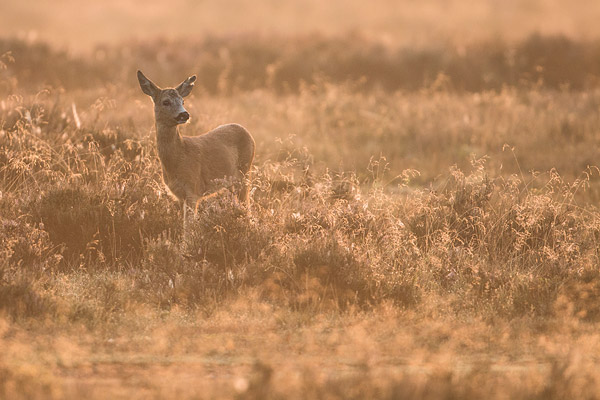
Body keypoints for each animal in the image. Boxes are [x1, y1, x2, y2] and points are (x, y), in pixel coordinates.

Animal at [136, 70, 255, 227]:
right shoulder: (179, 195)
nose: (184, 114)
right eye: (166, 102)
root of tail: (247, 132)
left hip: (244, 172)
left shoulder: (193, 190)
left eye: (183, 101)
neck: (178, 157)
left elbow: (189, 227)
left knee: (246, 204)